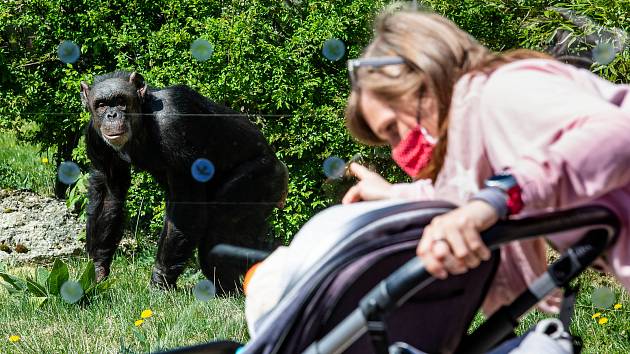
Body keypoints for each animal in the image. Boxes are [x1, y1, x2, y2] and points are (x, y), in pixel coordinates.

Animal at [79, 70, 288, 292]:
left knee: (219, 228)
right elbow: (110, 196)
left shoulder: (175, 122)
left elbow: (186, 205)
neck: (143, 121)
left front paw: (158, 284)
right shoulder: (94, 135)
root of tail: (281, 169)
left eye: (120, 101)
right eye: (101, 104)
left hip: (261, 178)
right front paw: (96, 271)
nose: (112, 115)